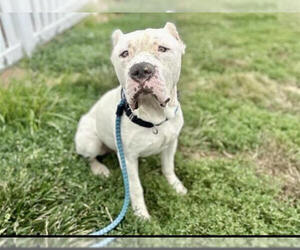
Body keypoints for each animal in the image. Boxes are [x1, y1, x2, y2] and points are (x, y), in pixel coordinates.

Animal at [74, 23, 186, 219]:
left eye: (163, 49)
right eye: (124, 53)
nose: (140, 69)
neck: (154, 115)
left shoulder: (171, 143)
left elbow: (168, 168)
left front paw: (176, 186)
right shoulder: (128, 159)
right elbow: (135, 187)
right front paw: (141, 215)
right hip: (90, 142)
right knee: (90, 158)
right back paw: (99, 169)